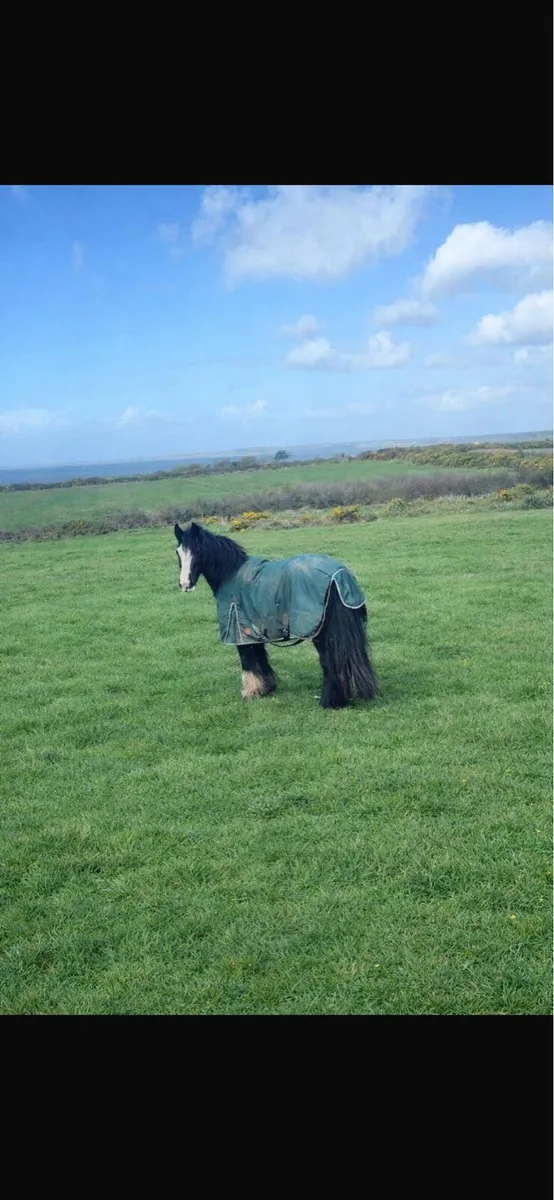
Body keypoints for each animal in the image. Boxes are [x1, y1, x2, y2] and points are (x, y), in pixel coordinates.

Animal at [174, 521, 379, 709]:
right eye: (178, 553)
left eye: (198, 550)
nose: (185, 584)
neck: (231, 575)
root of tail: (339, 575)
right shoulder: (252, 631)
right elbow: (260, 658)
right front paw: (265, 688)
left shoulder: (239, 631)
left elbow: (248, 660)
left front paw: (250, 691)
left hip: (319, 632)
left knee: (329, 662)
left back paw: (329, 702)